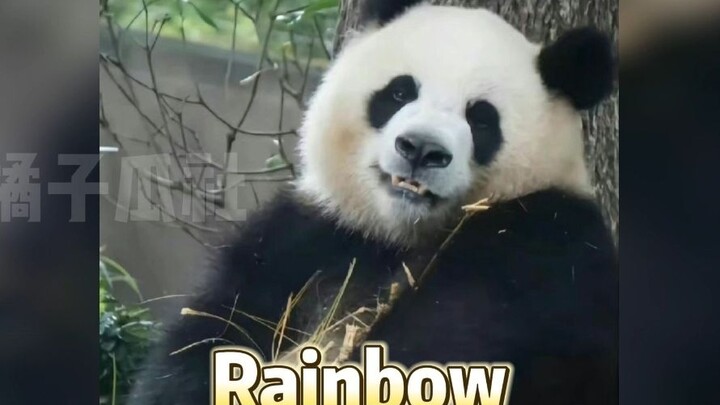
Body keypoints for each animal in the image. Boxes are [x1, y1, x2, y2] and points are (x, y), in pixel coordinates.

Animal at [129, 1, 617, 405]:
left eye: (481, 118)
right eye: (400, 92)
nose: (421, 148)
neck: (399, 235)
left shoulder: (541, 250)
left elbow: (445, 346)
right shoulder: (309, 237)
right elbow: (210, 336)